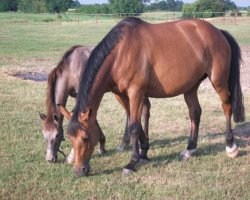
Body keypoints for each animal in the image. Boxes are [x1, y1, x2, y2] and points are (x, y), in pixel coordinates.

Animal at [58, 17, 244, 177]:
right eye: (69, 137)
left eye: (85, 138)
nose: (79, 170)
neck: (120, 53)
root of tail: (217, 31)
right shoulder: (122, 94)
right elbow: (136, 122)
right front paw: (144, 153)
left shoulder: (136, 92)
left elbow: (134, 125)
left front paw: (132, 163)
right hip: (191, 87)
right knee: (195, 113)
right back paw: (190, 149)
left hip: (218, 81)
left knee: (227, 106)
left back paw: (230, 146)